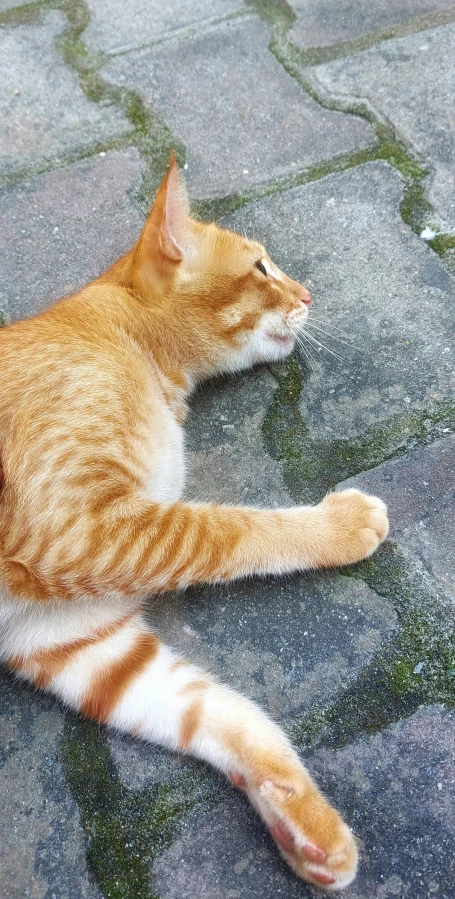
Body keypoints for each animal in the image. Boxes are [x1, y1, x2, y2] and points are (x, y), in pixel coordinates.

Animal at [0, 158, 390, 888]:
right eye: (261, 267)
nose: (308, 292)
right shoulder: (82, 526)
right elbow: (231, 531)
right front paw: (337, 525)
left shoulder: (76, 640)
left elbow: (220, 712)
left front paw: (301, 819)